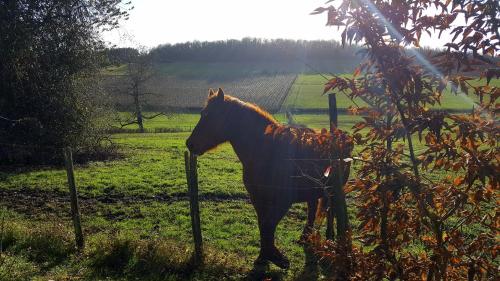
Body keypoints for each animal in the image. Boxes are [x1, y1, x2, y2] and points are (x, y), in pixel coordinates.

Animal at [186, 88, 354, 268]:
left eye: (210, 115)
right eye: (202, 113)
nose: (190, 144)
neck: (266, 149)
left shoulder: (283, 199)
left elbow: (269, 224)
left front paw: (276, 257)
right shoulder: (258, 198)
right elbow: (263, 225)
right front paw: (264, 257)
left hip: (332, 190)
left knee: (331, 211)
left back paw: (330, 241)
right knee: (313, 208)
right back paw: (306, 237)